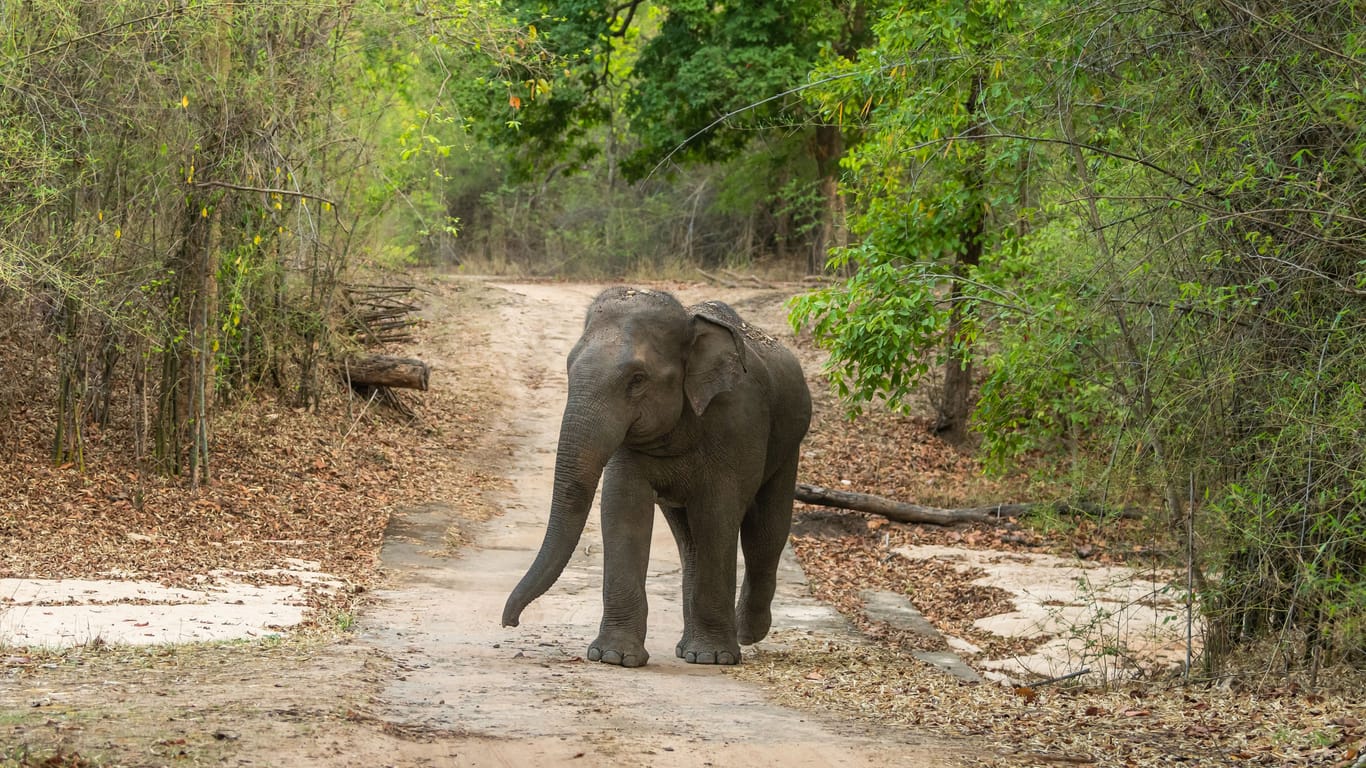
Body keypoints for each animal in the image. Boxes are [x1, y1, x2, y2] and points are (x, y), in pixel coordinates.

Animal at [508, 286, 814, 664]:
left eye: (637, 379)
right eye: (568, 368)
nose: (510, 622)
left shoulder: (738, 424)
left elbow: (717, 516)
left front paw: (713, 658)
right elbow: (623, 508)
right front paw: (614, 657)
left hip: (789, 443)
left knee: (765, 531)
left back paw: (745, 633)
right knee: (689, 541)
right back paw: (688, 648)